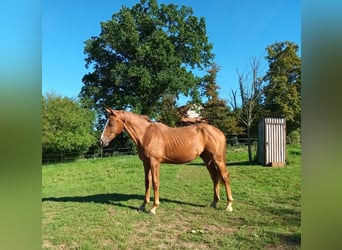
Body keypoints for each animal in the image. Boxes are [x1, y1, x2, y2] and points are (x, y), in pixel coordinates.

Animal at [99, 108, 232, 214]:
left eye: (110, 123)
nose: (101, 141)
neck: (147, 134)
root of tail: (219, 132)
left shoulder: (155, 162)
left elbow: (155, 183)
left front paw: (154, 208)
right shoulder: (146, 163)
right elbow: (147, 182)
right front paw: (143, 206)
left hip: (218, 159)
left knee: (225, 177)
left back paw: (229, 205)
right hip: (207, 160)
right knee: (215, 178)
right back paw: (214, 203)